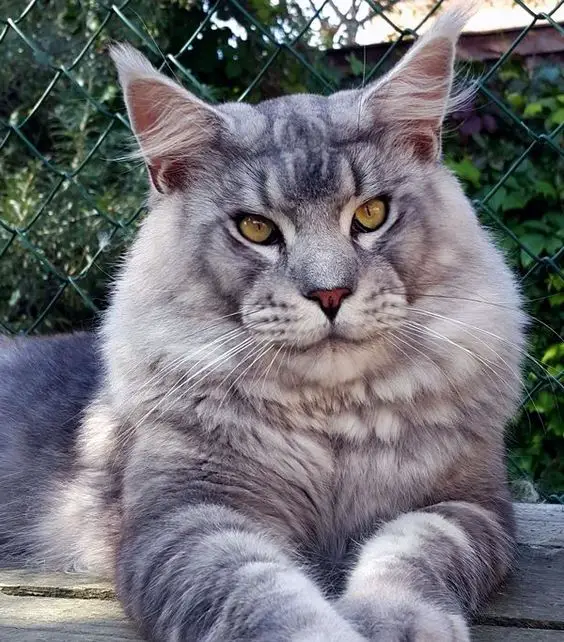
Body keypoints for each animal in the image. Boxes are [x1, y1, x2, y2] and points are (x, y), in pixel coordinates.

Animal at [1, 5, 528, 640]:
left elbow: (408, 553)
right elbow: (262, 595)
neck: (332, 421)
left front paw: (394, 621)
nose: (330, 293)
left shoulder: (466, 507)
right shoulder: (188, 518)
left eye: (371, 214)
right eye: (256, 228)